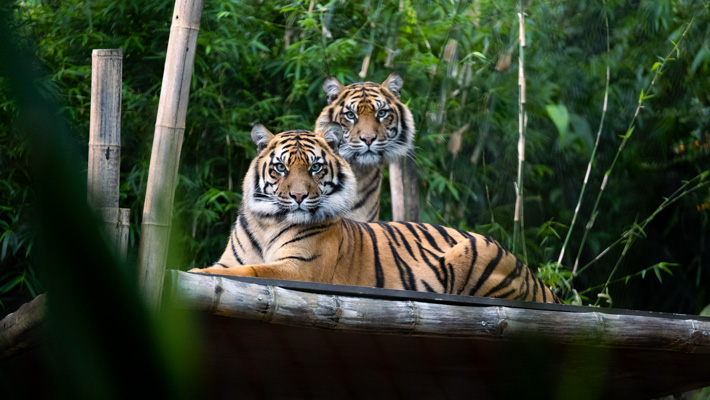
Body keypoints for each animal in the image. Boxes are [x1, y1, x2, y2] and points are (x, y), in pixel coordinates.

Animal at [191, 125, 560, 304]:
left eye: (315, 167)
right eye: (281, 167)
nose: (298, 197)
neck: (268, 221)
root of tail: (540, 282)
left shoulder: (300, 267)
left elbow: (252, 270)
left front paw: (197, 272)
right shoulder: (231, 257)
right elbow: (230, 266)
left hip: (476, 250)